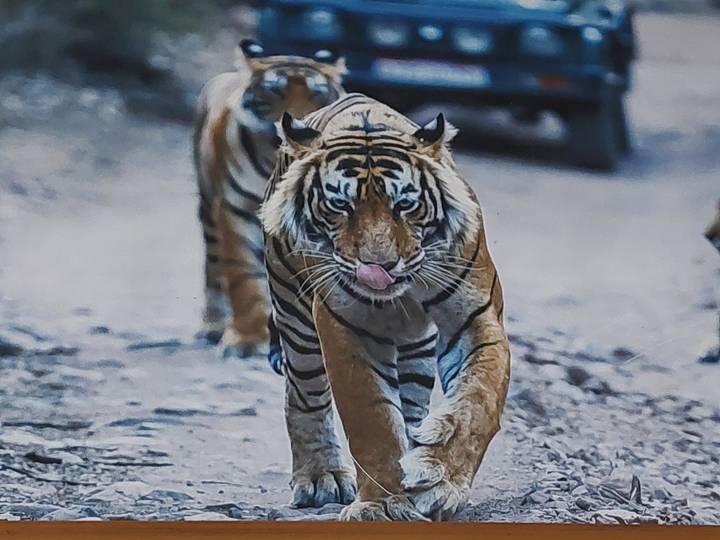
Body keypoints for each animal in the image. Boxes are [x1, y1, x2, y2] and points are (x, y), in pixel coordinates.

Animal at [193, 39, 346, 357]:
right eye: (276, 92)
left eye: (317, 94)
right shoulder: (236, 209)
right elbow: (243, 276)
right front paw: (246, 339)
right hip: (208, 208)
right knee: (214, 268)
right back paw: (213, 327)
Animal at [260, 93, 511, 521]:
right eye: (340, 205)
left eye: (405, 205)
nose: (378, 267)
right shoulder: (344, 327)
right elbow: (371, 418)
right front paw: (382, 504)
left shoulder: (476, 320)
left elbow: (478, 402)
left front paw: (439, 479)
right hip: (294, 316)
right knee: (304, 396)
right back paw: (321, 477)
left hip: (418, 349)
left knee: (411, 400)